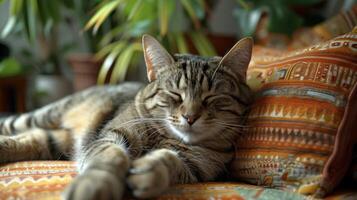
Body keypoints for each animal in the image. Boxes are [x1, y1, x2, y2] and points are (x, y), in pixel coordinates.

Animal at [0, 35, 252, 199]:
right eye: (175, 94)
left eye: (212, 97)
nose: (190, 117)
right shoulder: (110, 135)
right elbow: (111, 155)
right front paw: (95, 184)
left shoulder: (196, 167)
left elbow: (170, 159)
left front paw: (150, 171)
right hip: (46, 115)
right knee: (15, 126)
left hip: (58, 141)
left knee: (33, 139)